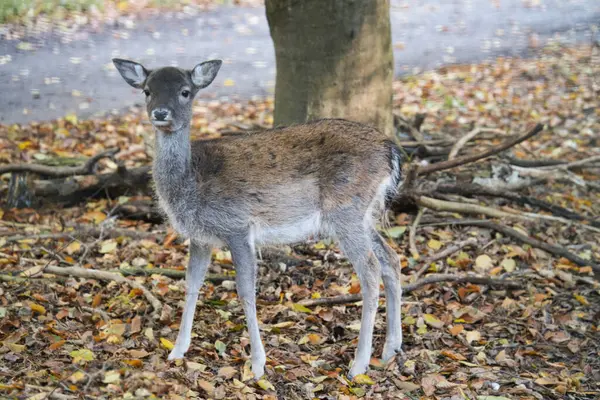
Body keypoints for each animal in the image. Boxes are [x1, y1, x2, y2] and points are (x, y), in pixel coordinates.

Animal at [112, 57, 404, 380]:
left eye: (185, 91)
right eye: (147, 91)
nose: (161, 113)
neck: (191, 183)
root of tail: (391, 151)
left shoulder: (237, 226)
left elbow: (246, 291)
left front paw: (257, 364)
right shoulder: (201, 237)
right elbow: (191, 284)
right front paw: (177, 351)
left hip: (346, 210)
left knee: (370, 270)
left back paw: (359, 364)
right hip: (362, 215)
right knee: (391, 258)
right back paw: (390, 349)